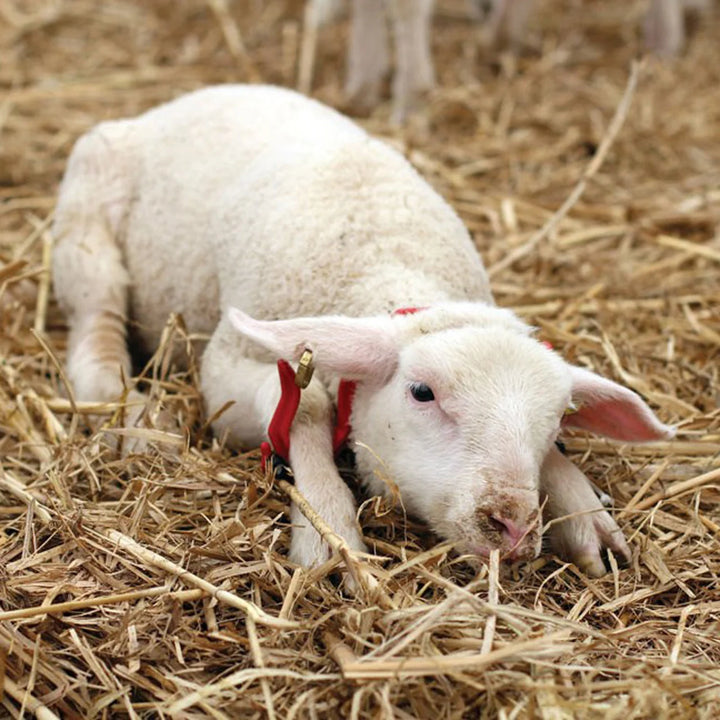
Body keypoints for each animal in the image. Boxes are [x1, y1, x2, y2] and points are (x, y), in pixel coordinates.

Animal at [52, 84, 674, 577]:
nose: (514, 525)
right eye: (422, 393)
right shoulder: (229, 365)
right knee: (95, 334)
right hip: (86, 225)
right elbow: (303, 408)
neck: (388, 263)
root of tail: (178, 103)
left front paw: (583, 511)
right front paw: (327, 528)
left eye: (556, 420)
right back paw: (134, 416)